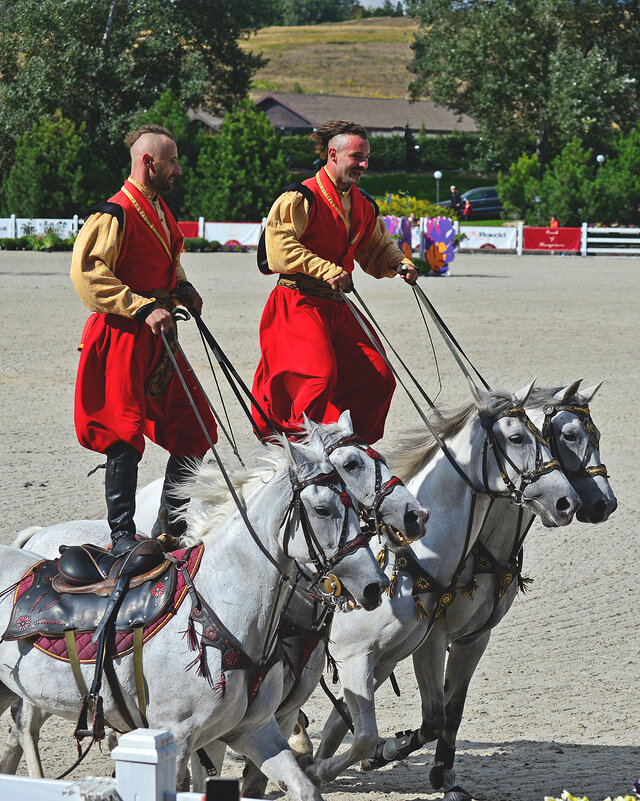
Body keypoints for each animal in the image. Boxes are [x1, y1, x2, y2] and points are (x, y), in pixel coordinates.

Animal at [304, 378, 580, 784]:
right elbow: (414, 721)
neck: (412, 562)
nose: (568, 501)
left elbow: (433, 715)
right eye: (516, 438)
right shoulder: (397, 648)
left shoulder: (429, 647)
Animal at [368, 378, 616, 796]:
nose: (601, 504)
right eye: (568, 435)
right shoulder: (432, 640)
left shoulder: (474, 638)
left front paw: (446, 777)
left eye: (595, 433)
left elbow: (452, 710)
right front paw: (384, 750)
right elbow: (433, 717)